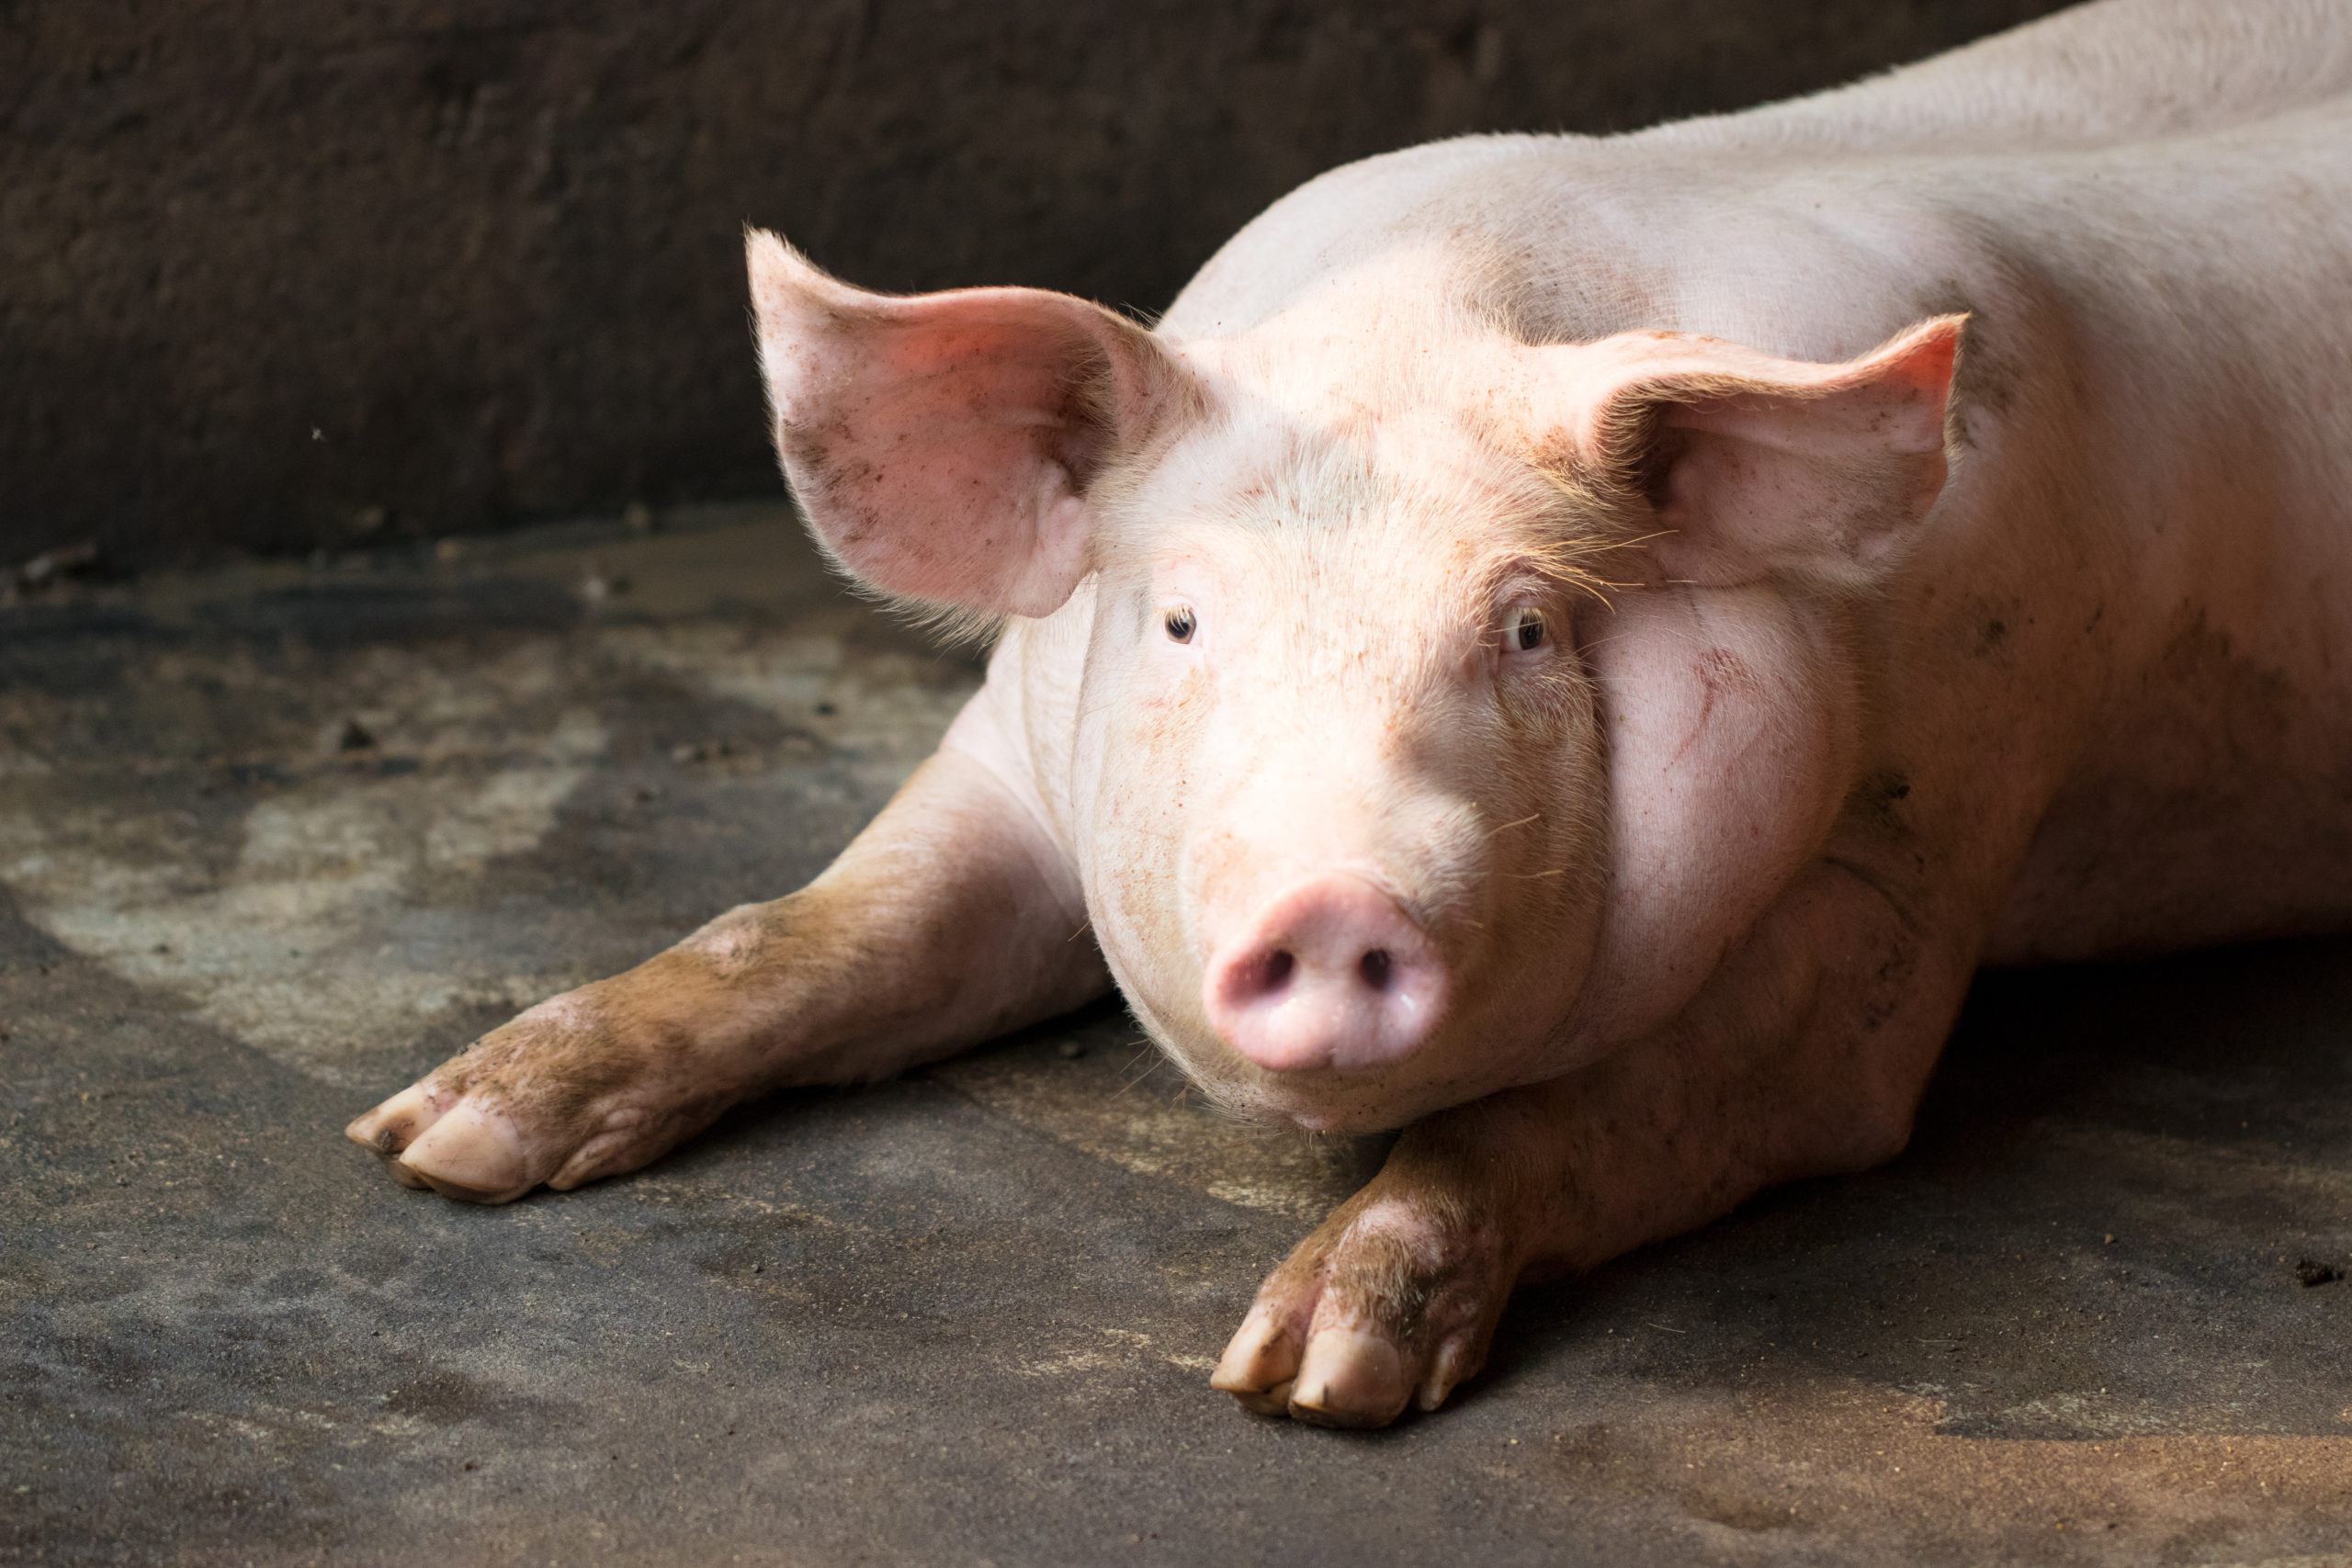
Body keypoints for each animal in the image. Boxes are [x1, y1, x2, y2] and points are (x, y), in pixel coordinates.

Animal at [353, 0, 2352, 1429]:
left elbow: (1585, 1112)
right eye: (1178, 618)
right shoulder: (1012, 757)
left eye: (1528, 630)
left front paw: (1301, 1380)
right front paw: (437, 1147)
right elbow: (807, 928)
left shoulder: (1910, 871)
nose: (1332, 895)